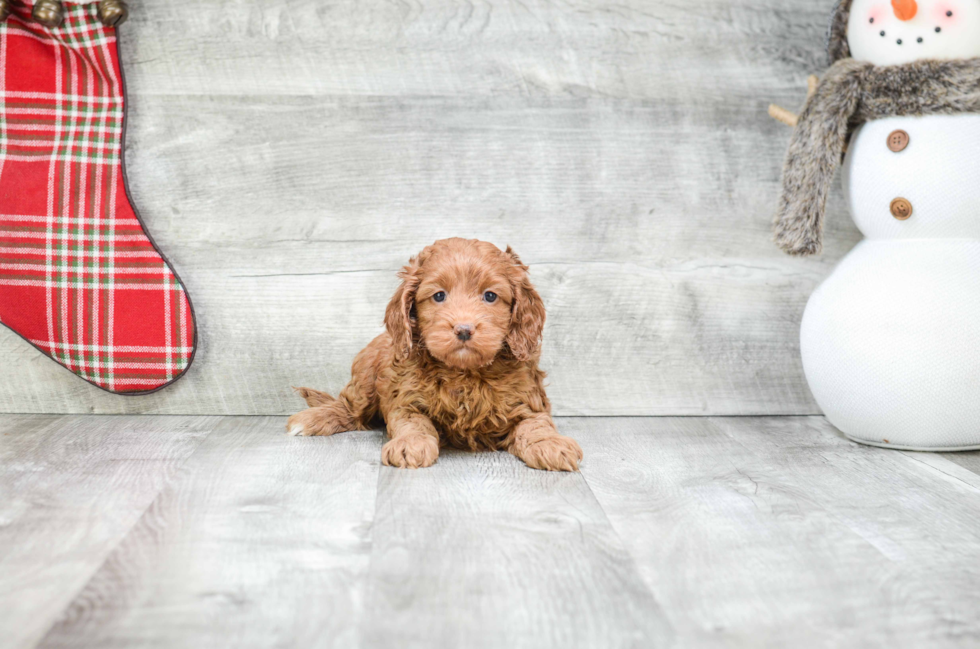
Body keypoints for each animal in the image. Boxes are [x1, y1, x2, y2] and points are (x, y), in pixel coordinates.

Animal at [288, 238, 584, 470]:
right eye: (439, 296)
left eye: (490, 296)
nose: (463, 329)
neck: (464, 373)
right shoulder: (404, 399)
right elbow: (414, 422)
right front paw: (410, 444)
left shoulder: (528, 401)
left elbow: (537, 426)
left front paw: (552, 445)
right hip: (366, 378)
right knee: (350, 408)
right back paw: (312, 419)